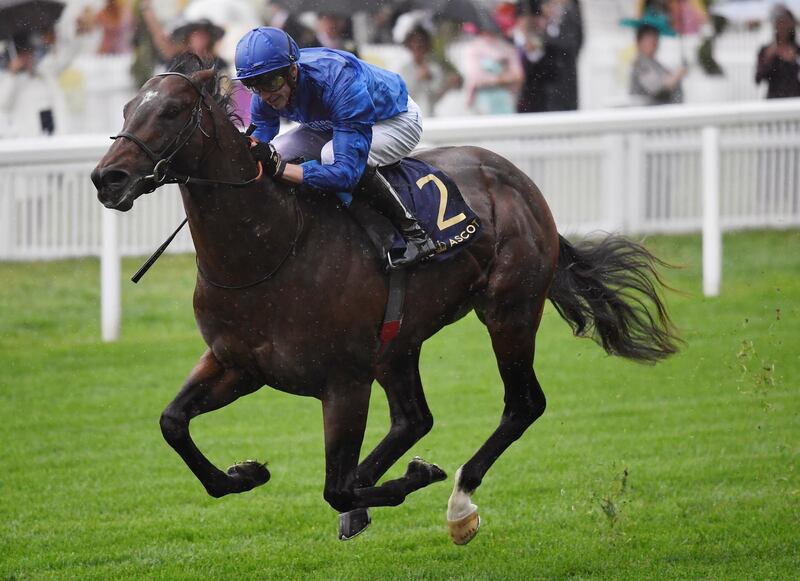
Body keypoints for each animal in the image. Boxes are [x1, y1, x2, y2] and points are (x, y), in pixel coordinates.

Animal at [92, 63, 680, 544]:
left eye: (170, 111)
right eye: (126, 108)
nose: (107, 178)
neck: (270, 249)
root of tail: (520, 182)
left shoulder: (343, 382)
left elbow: (335, 486)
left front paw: (417, 477)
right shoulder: (235, 363)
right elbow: (173, 423)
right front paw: (246, 473)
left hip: (508, 311)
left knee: (522, 404)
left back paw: (459, 504)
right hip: (400, 342)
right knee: (413, 419)